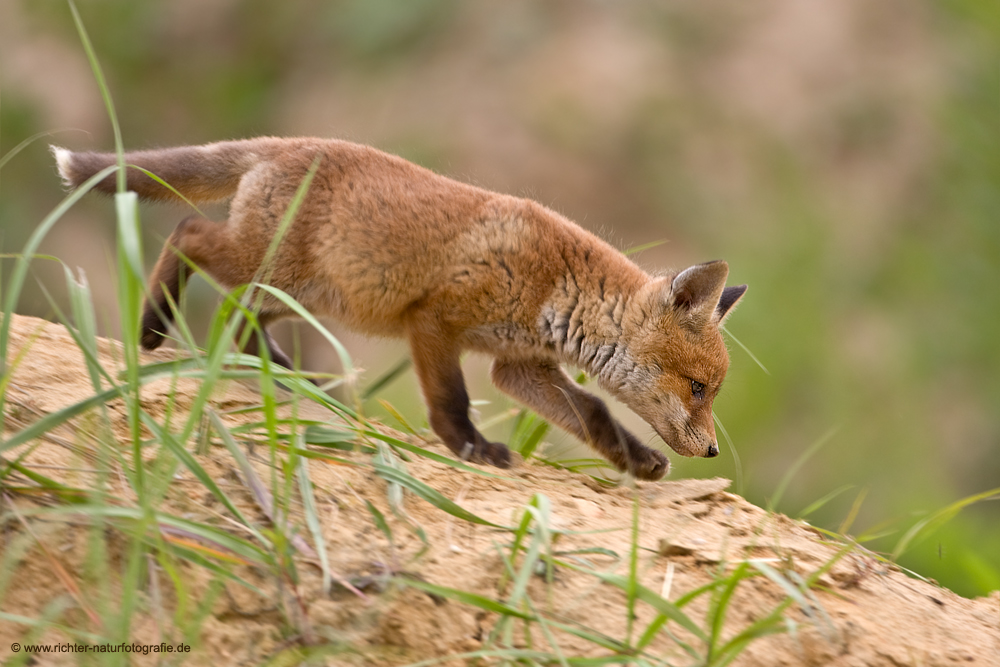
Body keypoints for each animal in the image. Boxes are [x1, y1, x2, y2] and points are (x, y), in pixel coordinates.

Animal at [52, 137, 744, 480]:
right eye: (700, 388)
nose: (713, 452)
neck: (556, 285)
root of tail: (286, 141)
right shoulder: (435, 321)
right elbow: (452, 401)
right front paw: (471, 448)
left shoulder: (518, 365)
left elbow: (594, 411)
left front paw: (634, 460)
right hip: (269, 268)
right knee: (188, 233)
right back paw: (152, 328)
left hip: (304, 293)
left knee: (245, 320)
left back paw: (289, 377)